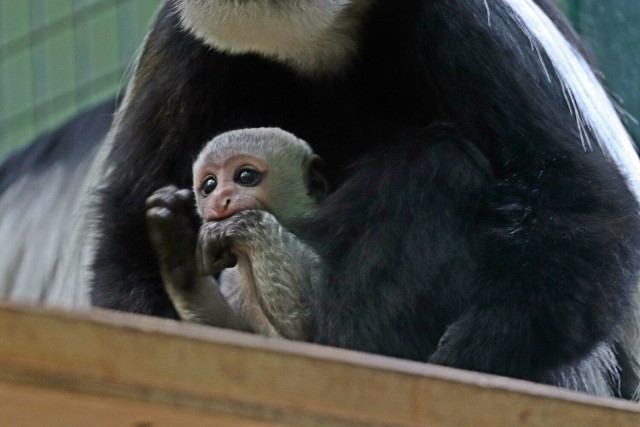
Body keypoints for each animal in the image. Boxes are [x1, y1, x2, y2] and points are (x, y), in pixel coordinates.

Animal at [145, 128, 324, 342]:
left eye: (245, 176)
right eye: (210, 185)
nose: (220, 199)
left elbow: (309, 331)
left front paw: (233, 226)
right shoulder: (232, 280)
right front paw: (176, 244)